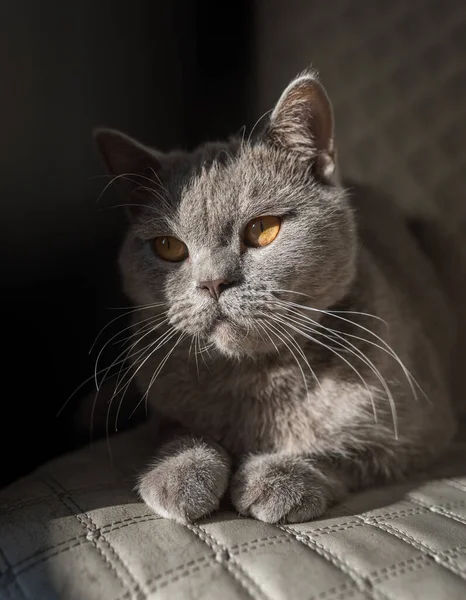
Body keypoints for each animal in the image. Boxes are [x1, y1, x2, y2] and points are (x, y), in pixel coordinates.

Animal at [93, 71, 462, 524]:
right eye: (168, 247)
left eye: (262, 229)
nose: (213, 282)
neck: (255, 379)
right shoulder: (164, 400)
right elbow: (176, 428)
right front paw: (181, 474)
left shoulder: (420, 427)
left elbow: (346, 449)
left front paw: (276, 478)